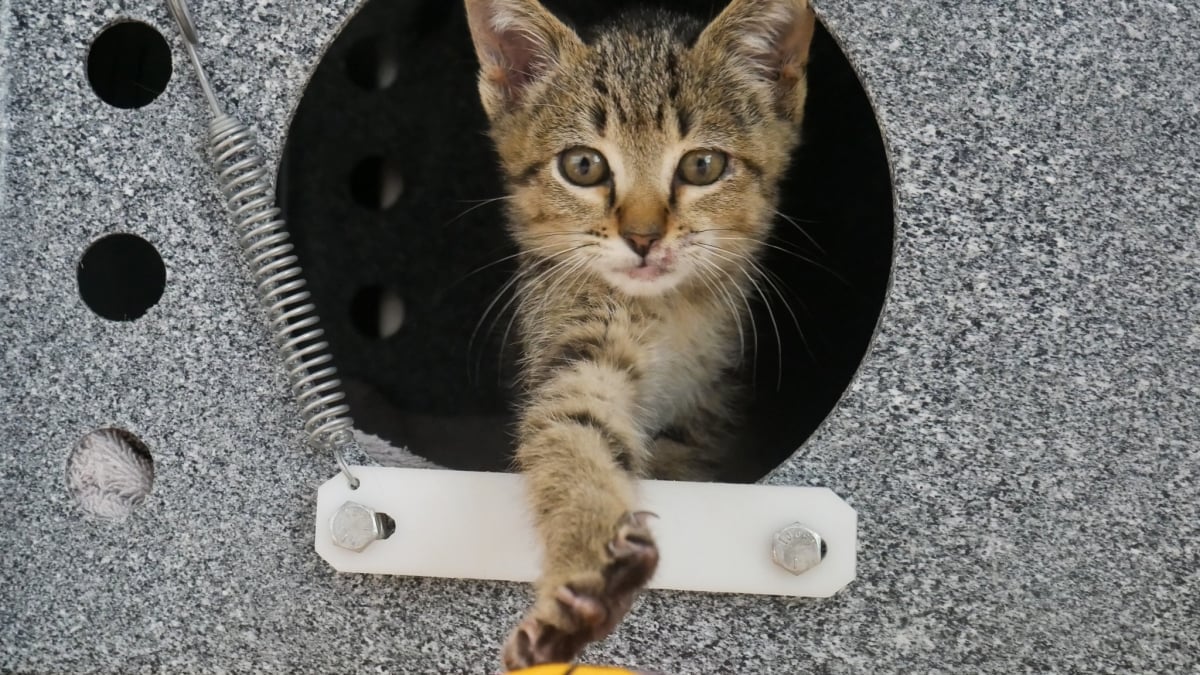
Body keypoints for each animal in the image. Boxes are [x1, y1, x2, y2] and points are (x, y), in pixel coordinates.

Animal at [458, 0, 816, 662]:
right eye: (583, 165)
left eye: (703, 165)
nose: (644, 237)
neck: (667, 312)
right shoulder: (575, 345)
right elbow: (572, 434)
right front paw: (589, 571)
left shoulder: (715, 403)